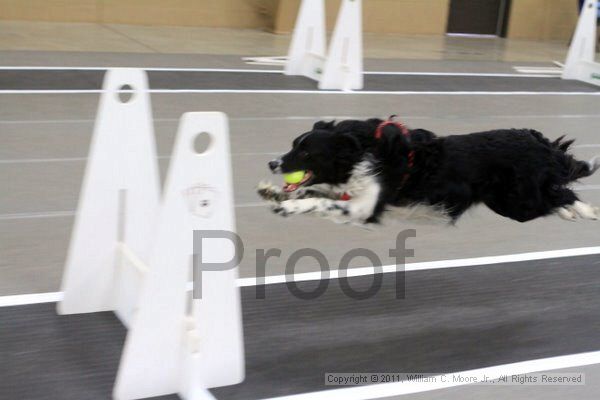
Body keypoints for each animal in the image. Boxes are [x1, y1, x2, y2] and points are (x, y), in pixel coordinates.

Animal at [258, 118, 600, 225]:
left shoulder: (364, 207)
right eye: (293, 145)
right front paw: (273, 193)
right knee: (556, 194)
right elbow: (313, 190)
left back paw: (585, 210)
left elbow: (318, 200)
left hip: (518, 202)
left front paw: (288, 206)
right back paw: (571, 211)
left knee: (560, 194)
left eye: (306, 152)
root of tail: (537, 139)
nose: (273, 163)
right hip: (506, 201)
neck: (359, 150)